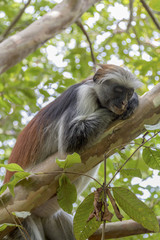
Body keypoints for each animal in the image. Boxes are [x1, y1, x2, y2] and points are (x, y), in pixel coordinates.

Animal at [4, 64, 141, 239]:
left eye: (128, 92)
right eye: (118, 90)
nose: (124, 102)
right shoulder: (83, 94)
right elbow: (70, 139)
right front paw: (133, 102)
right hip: (18, 219)